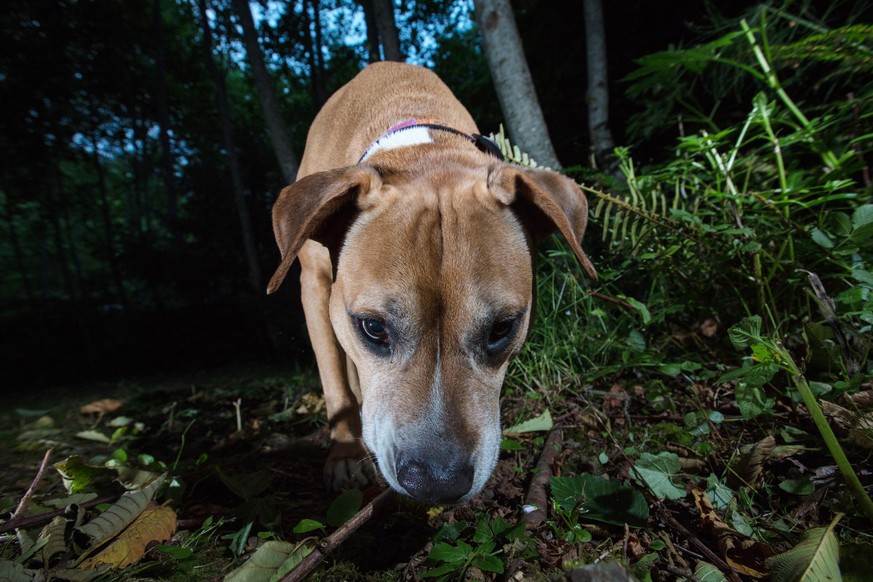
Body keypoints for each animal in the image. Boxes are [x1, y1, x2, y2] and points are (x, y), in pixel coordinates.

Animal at [268, 61, 592, 504]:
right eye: (373, 328)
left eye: (502, 328)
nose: (437, 484)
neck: (420, 146)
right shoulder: (315, 287)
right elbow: (334, 380)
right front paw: (345, 453)